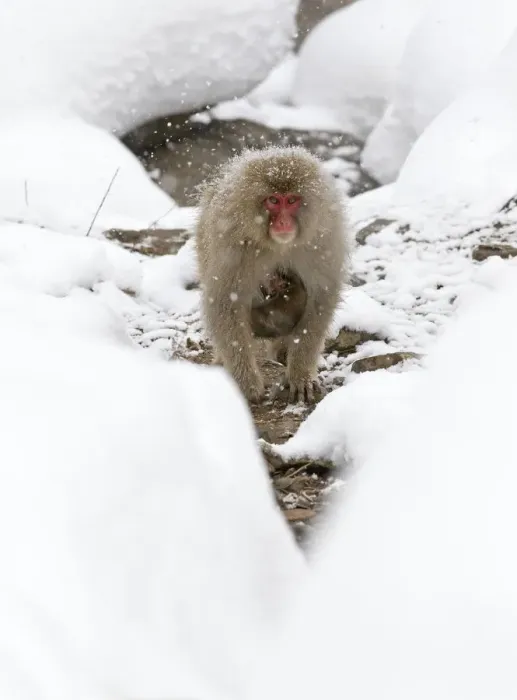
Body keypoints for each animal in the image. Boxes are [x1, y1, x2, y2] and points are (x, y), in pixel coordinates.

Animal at [195, 145, 349, 403]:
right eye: (274, 200)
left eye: (292, 200)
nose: (284, 222)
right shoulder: (231, 241)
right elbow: (225, 301)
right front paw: (245, 383)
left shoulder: (323, 237)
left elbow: (321, 295)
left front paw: (300, 374)